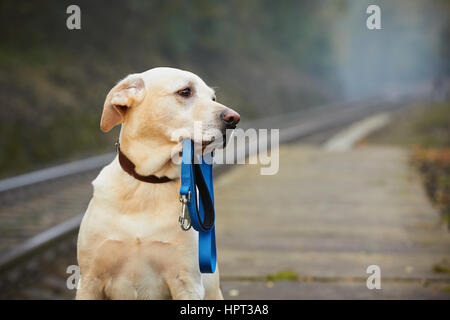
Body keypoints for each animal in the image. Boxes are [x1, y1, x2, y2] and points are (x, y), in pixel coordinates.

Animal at [75, 67, 241, 300]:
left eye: (213, 98)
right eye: (185, 91)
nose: (234, 118)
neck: (149, 182)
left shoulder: (187, 283)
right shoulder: (90, 281)